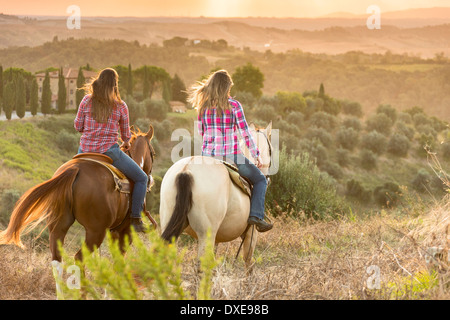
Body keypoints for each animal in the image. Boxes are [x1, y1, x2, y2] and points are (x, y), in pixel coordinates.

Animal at [0, 124, 156, 262]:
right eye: (153, 153)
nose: (150, 179)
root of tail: (75, 169)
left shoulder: (114, 231)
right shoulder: (126, 231)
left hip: (58, 226)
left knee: (57, 257)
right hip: (95, 232)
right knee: (79, 257)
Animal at [159, 121, 270, 272]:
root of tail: (186, 170)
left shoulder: (217, 238)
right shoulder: (251, 234)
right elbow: (248, 264)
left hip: (170, 225)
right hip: (206, 235)